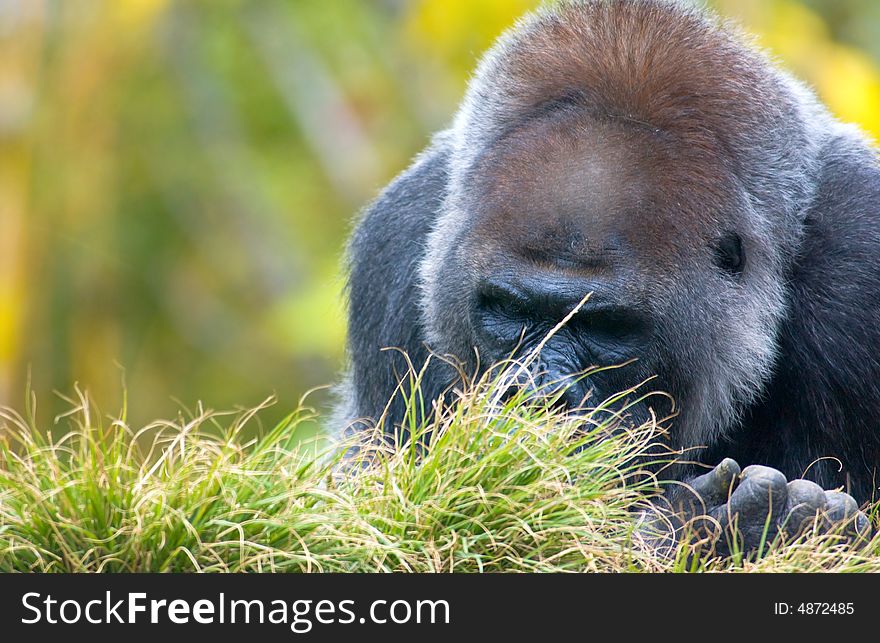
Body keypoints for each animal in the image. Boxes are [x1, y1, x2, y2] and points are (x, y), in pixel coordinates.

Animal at [334, 0, 876, 552]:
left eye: (607, 327)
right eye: (509, 310)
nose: (537, 398)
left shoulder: (859, 261)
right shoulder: (399, 246)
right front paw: (704, 528)